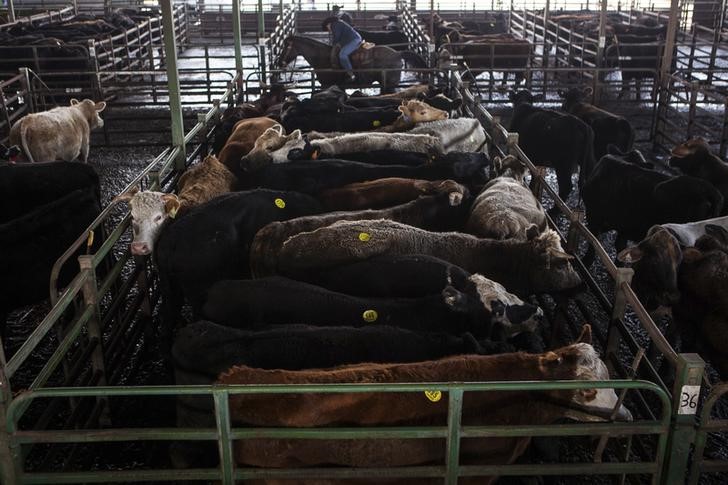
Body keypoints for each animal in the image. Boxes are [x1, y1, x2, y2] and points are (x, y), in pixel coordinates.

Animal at [278, 34, 426, 94]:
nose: (279, 62)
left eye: (286, 47)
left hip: (389, 84)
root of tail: (398, 54)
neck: (323, 57)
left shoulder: (326, 85)